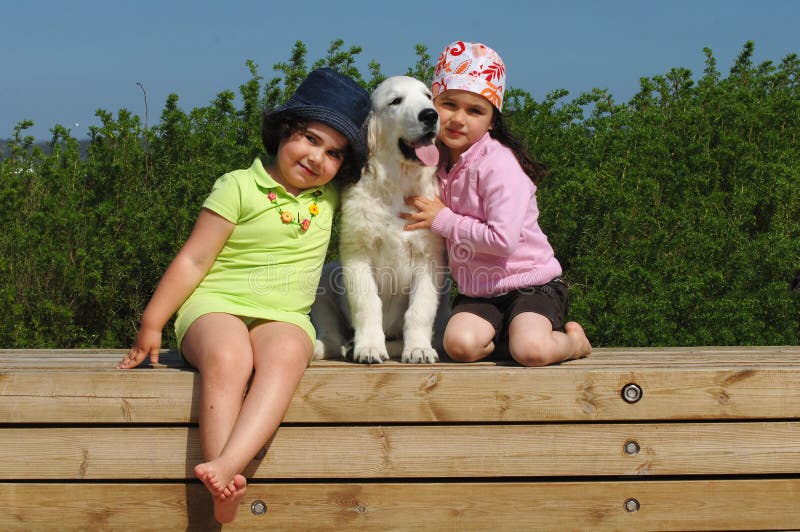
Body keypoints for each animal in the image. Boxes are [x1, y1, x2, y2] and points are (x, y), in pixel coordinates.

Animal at [310, 75, 450, 364]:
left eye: (428, 97)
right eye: (395, 101)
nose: (430, 115)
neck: (398, 183)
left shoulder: (429, 258)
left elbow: (420, 309)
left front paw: (418, 348)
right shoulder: (357, 252)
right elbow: (367, 302)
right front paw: (370, 347)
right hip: (324, 282)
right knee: (331, 335)